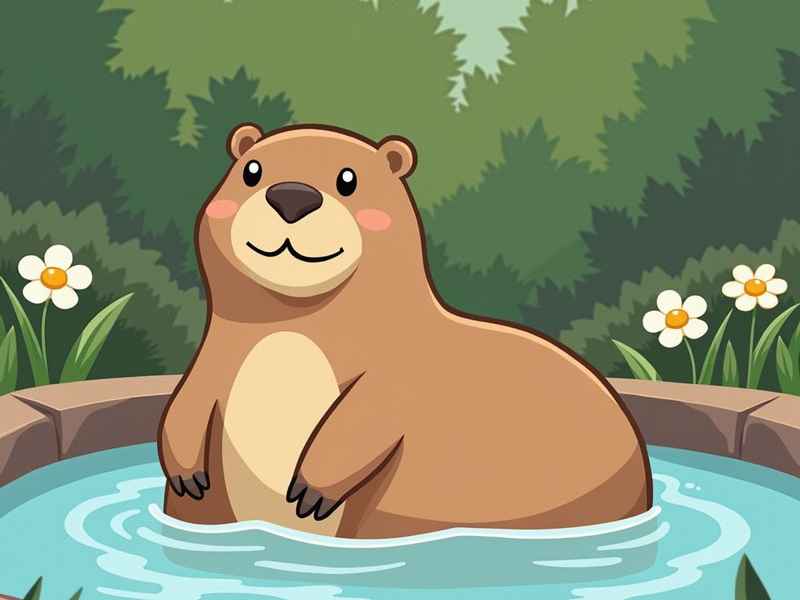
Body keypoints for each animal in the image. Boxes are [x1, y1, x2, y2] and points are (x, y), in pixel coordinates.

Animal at [157, 123, 652, 539]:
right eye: (251, 171)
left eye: (348, 180)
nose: (292, 197)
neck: (291, 326)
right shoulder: (218, 356)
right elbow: (187, 402)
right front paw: (186, 475)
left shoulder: (399, 367)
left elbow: (368, 416)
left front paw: (311, 489)